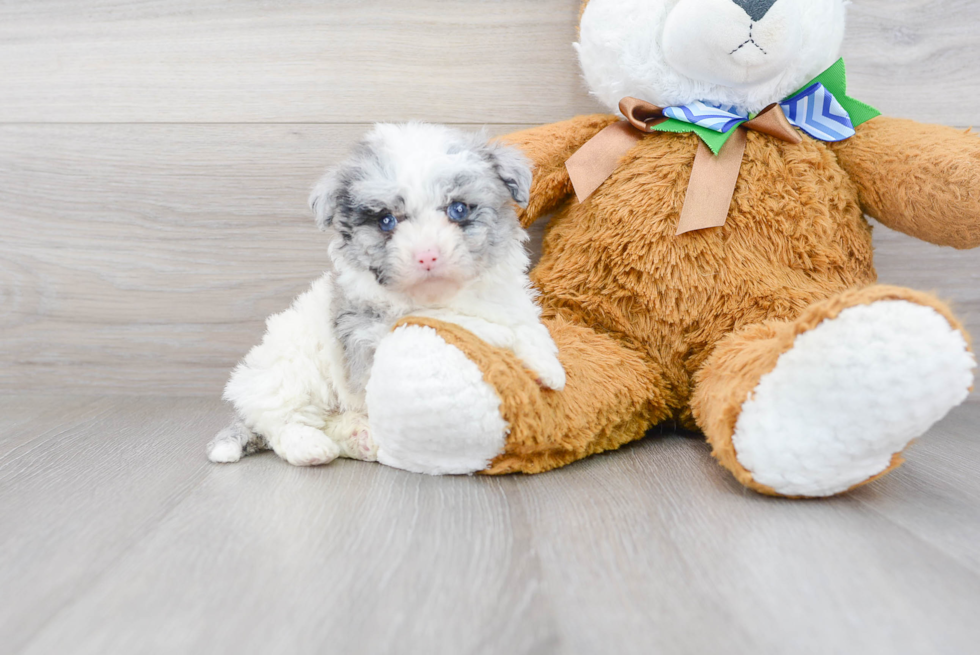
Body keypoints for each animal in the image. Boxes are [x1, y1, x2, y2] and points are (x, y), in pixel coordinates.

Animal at [207, 123, 568, 468]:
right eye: (385, 220)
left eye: (458, 209)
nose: (427, 255)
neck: (438, 297)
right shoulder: (372, 333)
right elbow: (465, 325)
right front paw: (497, 336)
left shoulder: (509, 300)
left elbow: (527, 327)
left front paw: (548, 368)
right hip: (289, 373)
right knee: (282, 422)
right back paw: (311, 447)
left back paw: (360, 437)